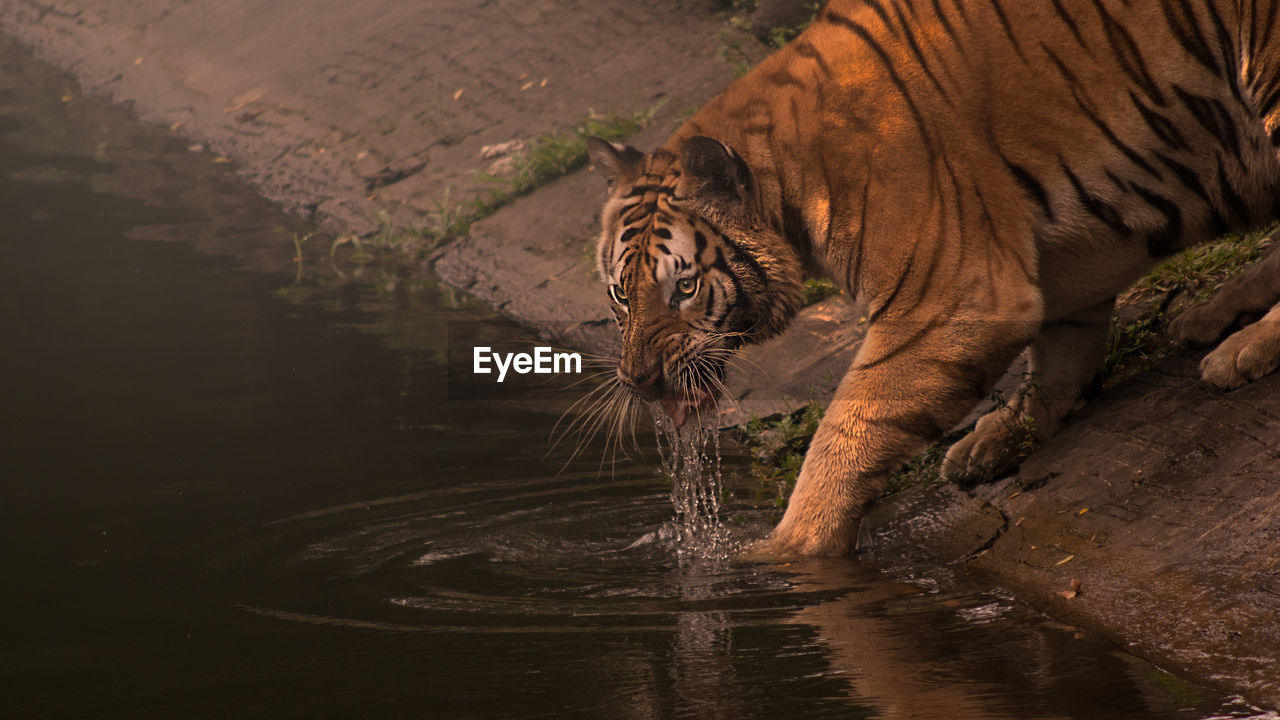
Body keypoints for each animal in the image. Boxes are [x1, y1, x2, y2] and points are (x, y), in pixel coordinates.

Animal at [586, 0, 1280, 556]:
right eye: (621, 293)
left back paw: (1243, 348)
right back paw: (1213, 314)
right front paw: (1004, 434)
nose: (640, 382)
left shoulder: (952, 298)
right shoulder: (1066, 256)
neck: (786, 177)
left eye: (684, 288)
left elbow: (847, 426)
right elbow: (1060, 351)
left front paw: (786, 550)